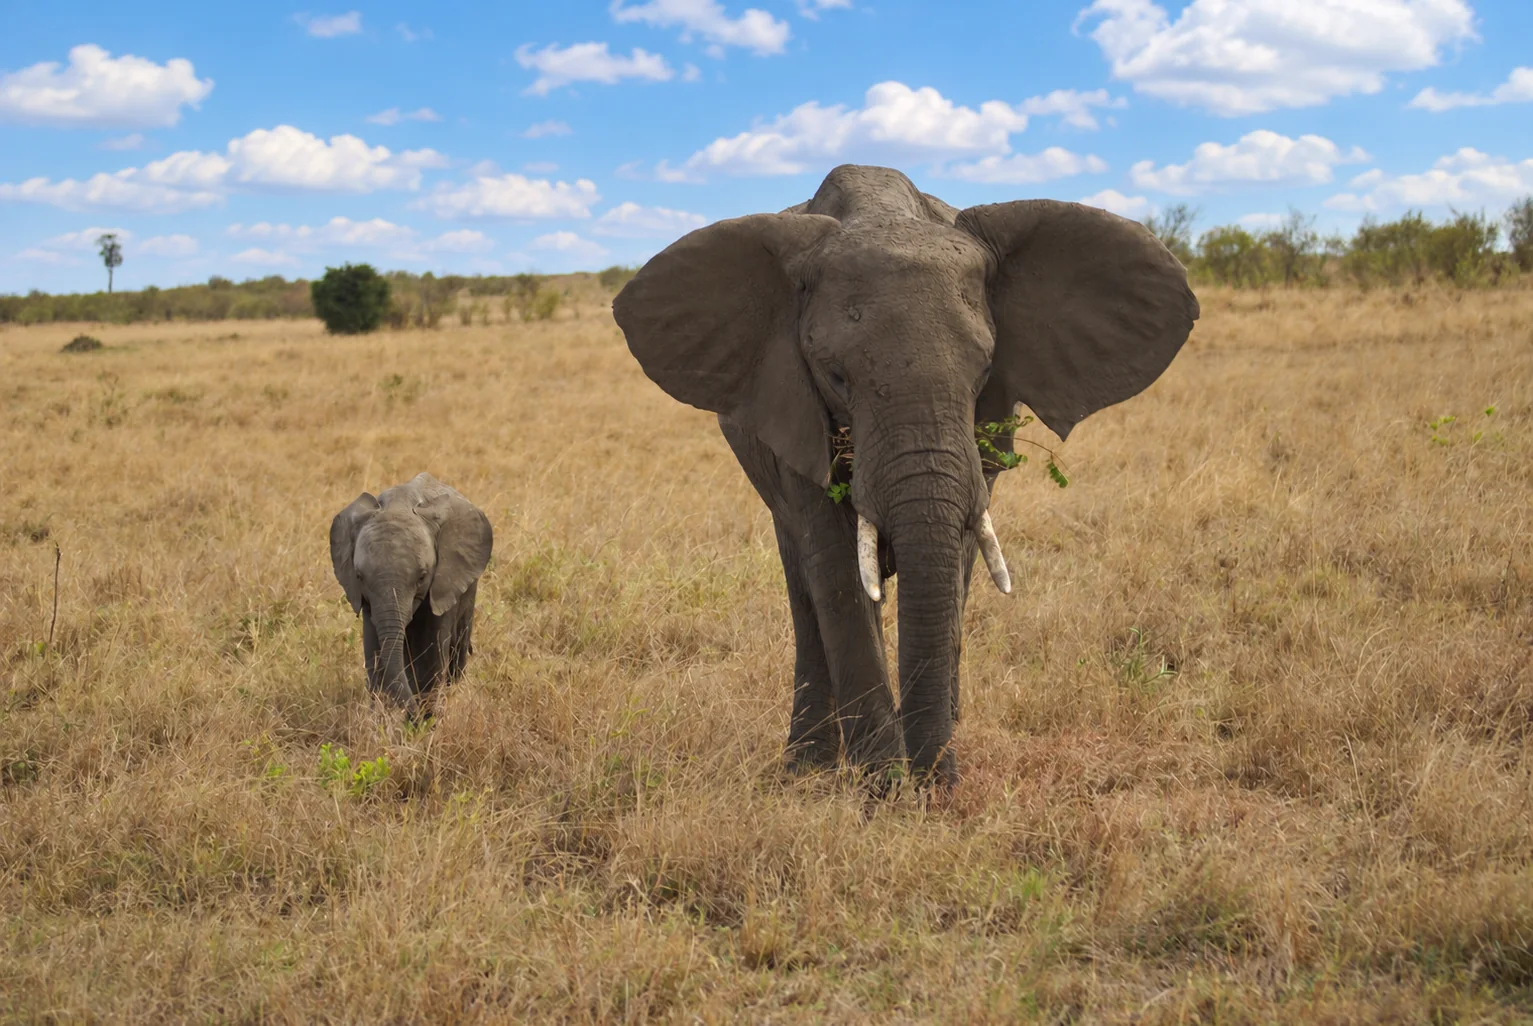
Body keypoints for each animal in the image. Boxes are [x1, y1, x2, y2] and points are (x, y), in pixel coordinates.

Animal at [329, 473, 493, 713]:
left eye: (422, 576)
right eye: (359, 577)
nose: (411, 715)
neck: (400, 503)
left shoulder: (443, 584)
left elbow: (431, 653)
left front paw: (425, 717)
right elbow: (375, 652)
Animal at [613, 164, 1198, 788]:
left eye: (985, 370)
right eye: (835, 376)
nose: (930, 782)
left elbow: (959, 553)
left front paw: (927, 775)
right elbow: (837, 569)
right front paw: (884, 786)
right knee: (804, 580)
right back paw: (807, 768)